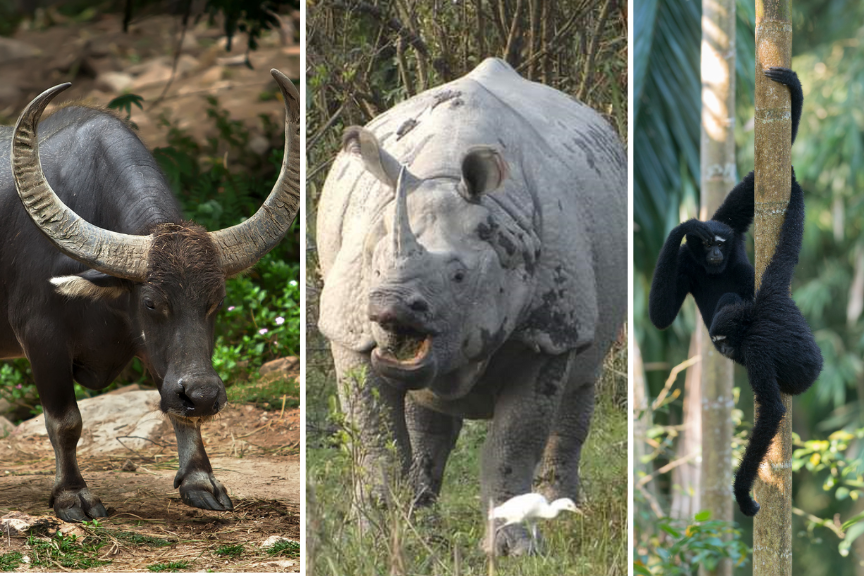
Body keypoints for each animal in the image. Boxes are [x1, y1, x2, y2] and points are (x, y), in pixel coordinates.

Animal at [316, 57, 626, 555]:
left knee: (581, 387)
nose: (388, 307)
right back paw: (424, 529)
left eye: (459, 276)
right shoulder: (349, 328)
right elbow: (376, 439)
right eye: (374, 269)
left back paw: (568, 521)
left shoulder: (549, 332)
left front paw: (514, 550)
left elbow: (511, 447)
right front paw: (375, 541)